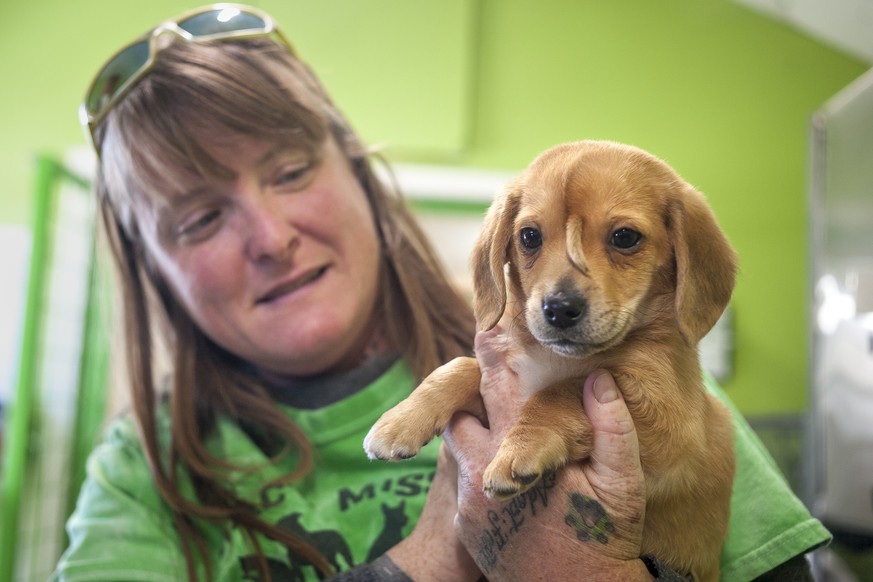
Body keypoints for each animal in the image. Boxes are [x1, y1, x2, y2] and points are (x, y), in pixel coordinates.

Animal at [364, 141, 740, 582]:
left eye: (625, 237)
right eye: (529, 236)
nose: (559, 309)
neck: (553, 358)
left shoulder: (669, 427)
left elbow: (562, 392)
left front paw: (521, 449)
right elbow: (460, 367)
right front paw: (401, 421)